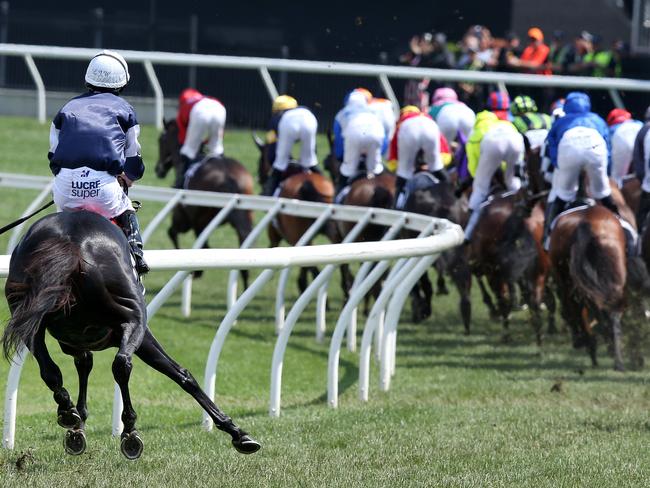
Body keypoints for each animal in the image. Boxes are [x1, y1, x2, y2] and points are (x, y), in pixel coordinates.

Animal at [3, 212, 260, 460]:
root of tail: (69, 241)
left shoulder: (77, 341)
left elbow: (83, 365)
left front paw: (77, 424)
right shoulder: (140, 335)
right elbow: (182, 374)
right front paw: (237, 432)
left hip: (26, 317)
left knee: (50, 370)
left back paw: (68, 411)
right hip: (133, 318)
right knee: (121, 364)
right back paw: (129, 432)